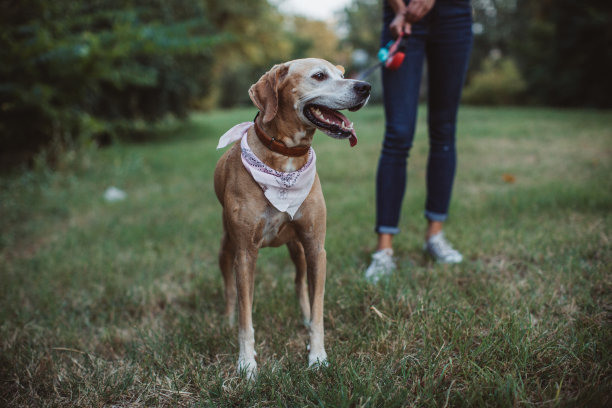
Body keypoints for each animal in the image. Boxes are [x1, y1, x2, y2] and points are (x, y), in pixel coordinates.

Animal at [213, 58, 370, 380]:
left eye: (342, 73)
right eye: (319, 76)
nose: (365, 87)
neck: (285, 157)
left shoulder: (315, 247)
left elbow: (318, 305)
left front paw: (317, 356)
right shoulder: (245, 253)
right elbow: (246, 316)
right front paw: (246, 364)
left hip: (297, 248)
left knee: (300, 284)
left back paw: (305, 318)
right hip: (226, 246)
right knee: (230, 290)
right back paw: (226, 319)